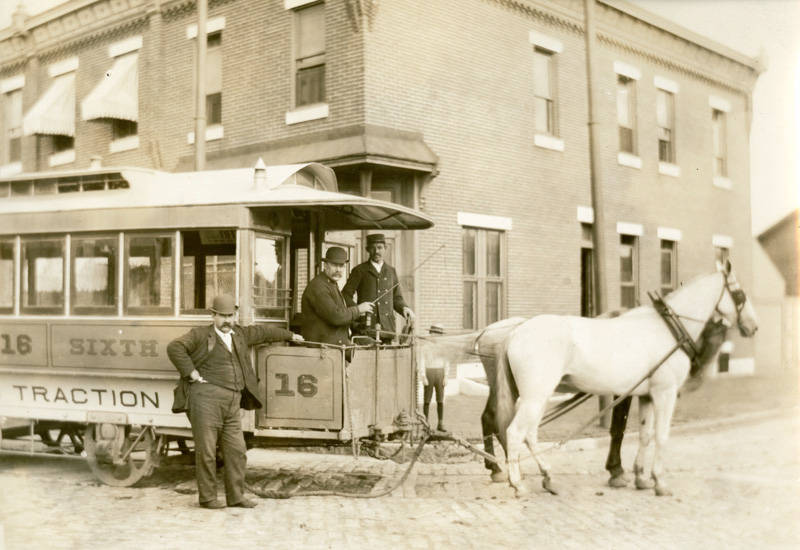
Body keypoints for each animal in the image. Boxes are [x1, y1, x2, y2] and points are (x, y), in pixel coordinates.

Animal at [496, 260, 760, 498]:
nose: (754, 327)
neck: (668, 328)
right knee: (515, 433)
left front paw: (641, 477)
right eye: (739, 293)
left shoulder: (646, 396)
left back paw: (548, 477)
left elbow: (645, 435)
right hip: (536, 397)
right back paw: (518, 484)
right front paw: (659, 481)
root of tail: (516, 332)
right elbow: (661, 435)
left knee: (530, 435)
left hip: (538, 398)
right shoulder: (665, 393)